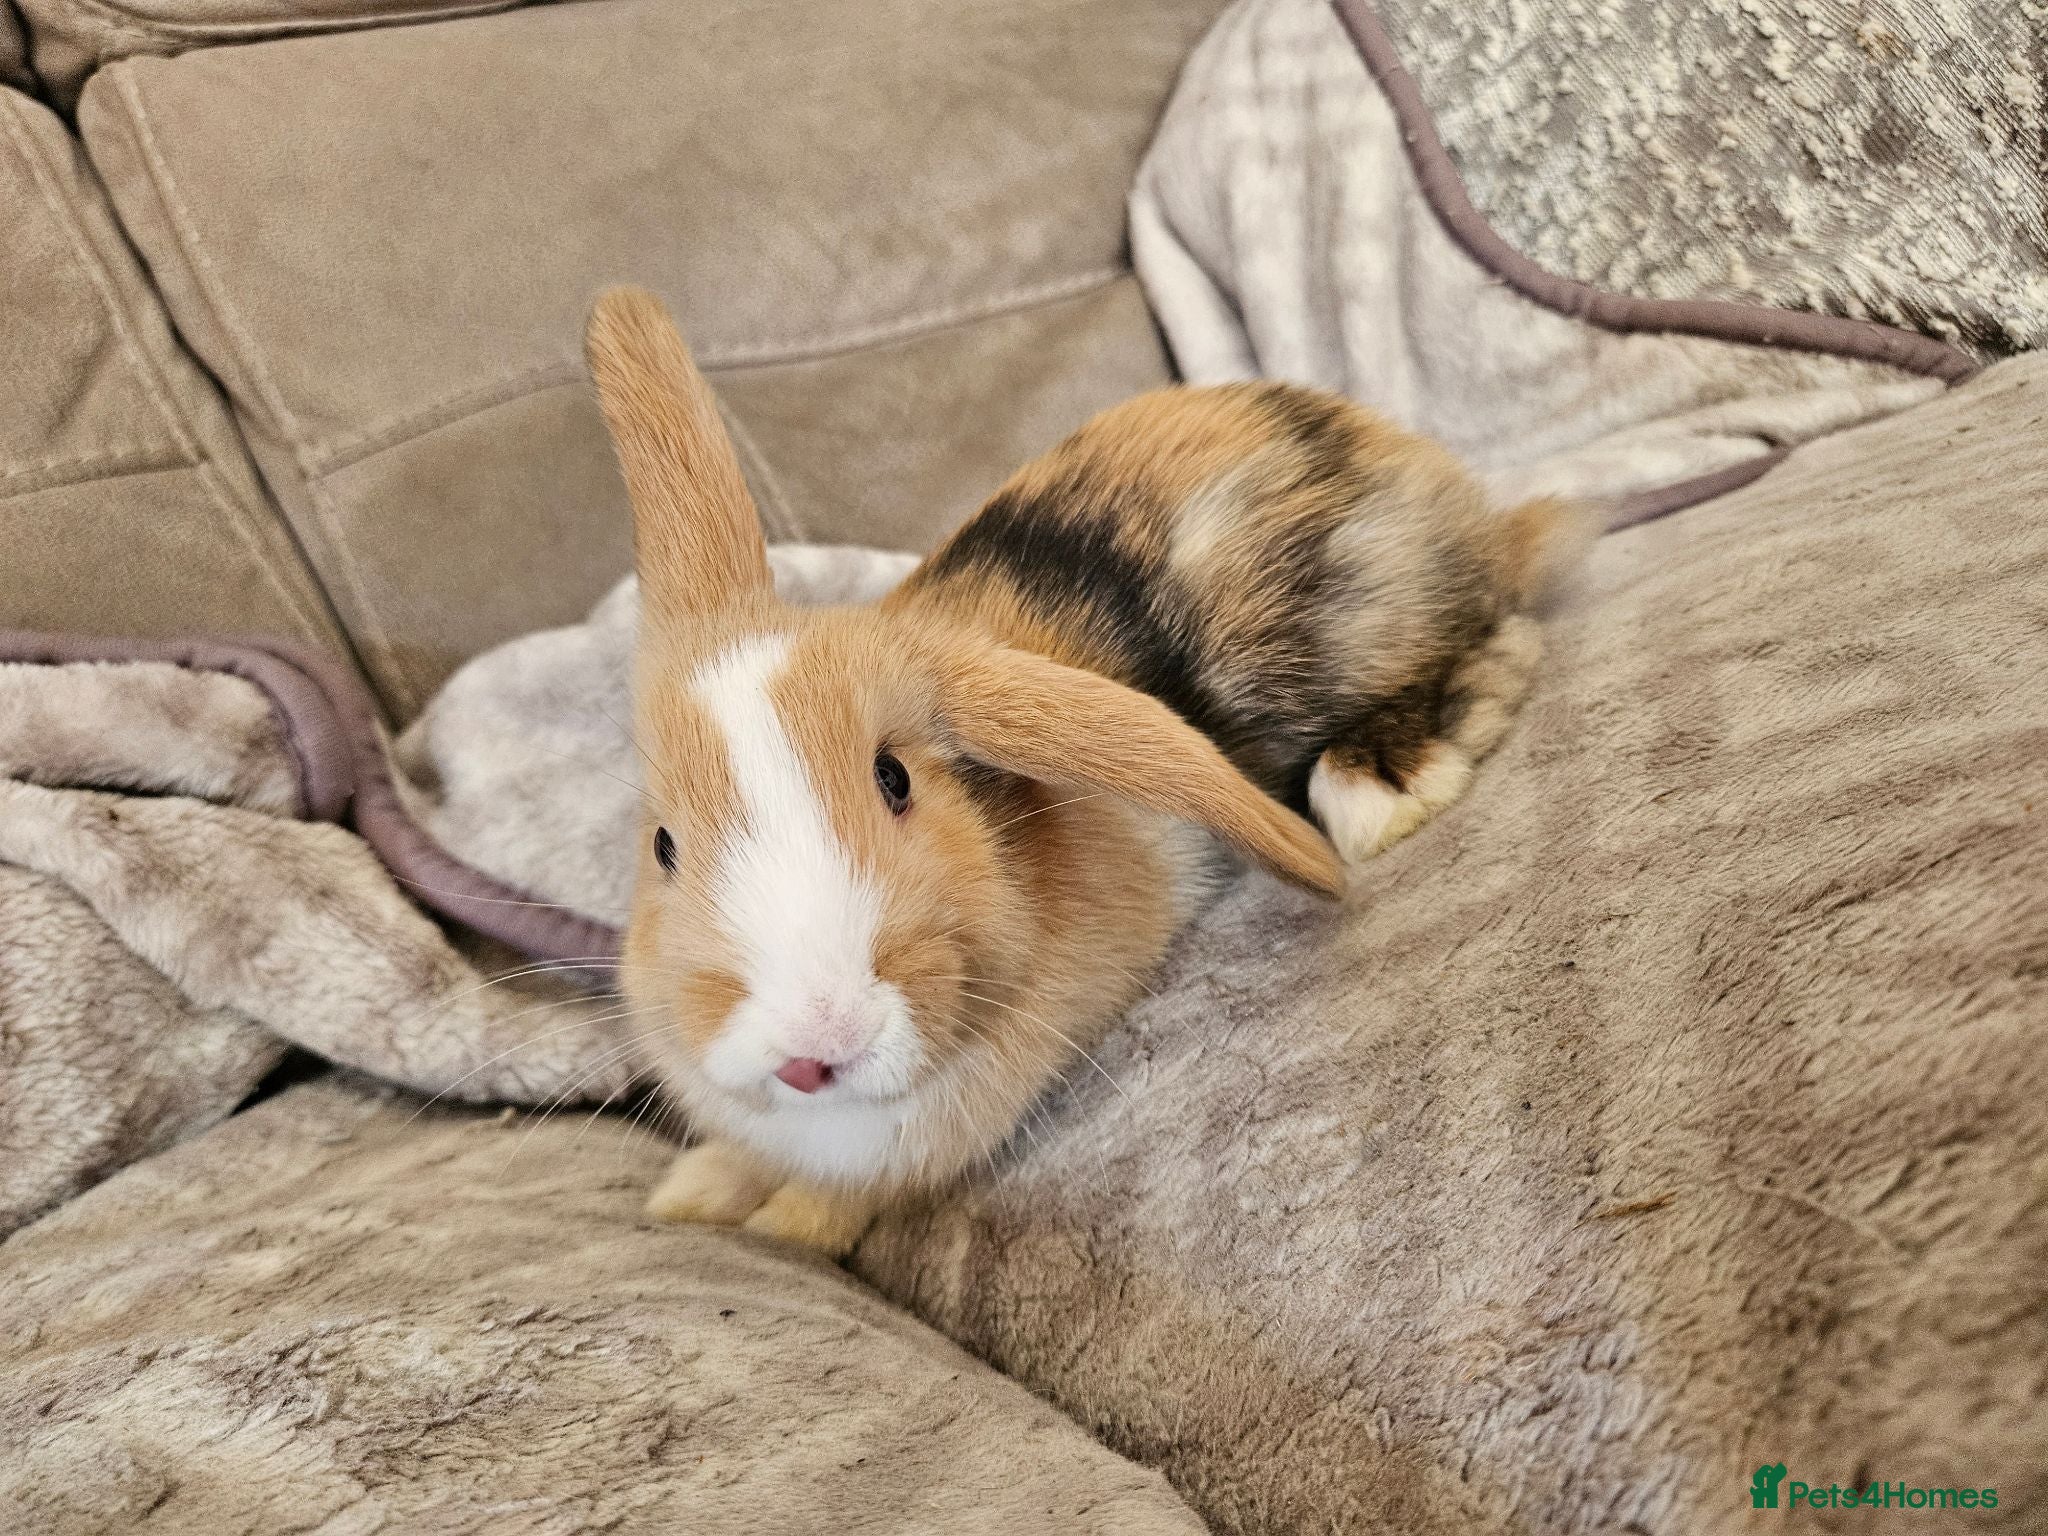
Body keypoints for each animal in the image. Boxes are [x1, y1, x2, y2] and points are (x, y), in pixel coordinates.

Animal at [585, 287, 1582, 1255]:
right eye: (664, 846)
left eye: (896, 781)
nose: (812, 1046)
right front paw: (693, 1192)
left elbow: (850, 1198)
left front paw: (783, 1226)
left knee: (1495, 638)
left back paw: (1384, 788)